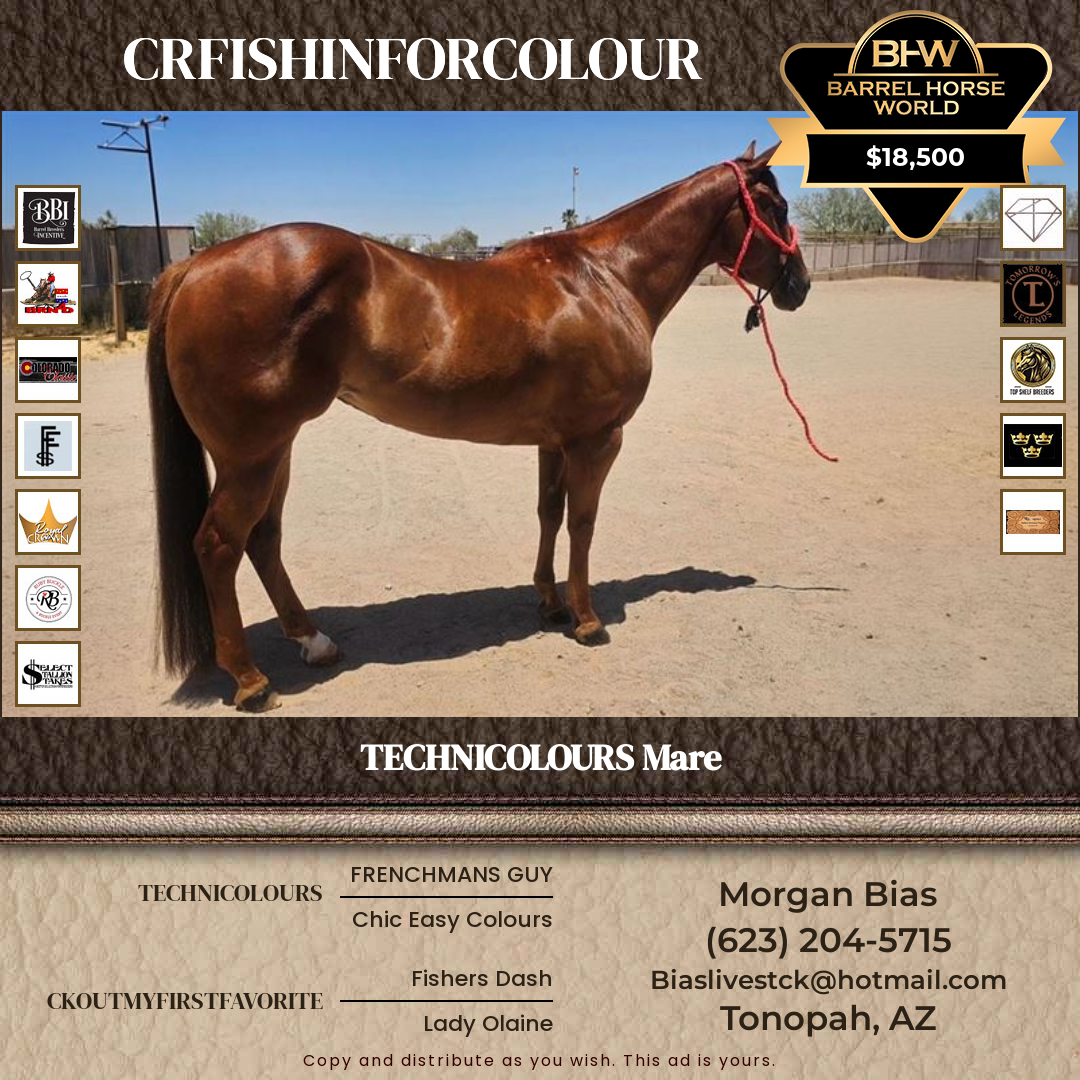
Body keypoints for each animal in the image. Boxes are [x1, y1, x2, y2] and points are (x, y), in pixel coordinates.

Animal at [147, 141, 811, 711]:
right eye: (777, 208)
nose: (799, 286)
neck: (605, 278)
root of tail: (196, 267)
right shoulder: (598, 438)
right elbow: (583, 522)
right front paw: (587, 620)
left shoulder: (554, 440)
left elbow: (549, 514)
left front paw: (549, 604)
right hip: (252, 456)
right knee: (218, 545)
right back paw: (251, 681)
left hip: (275, 449)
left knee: (263, 539)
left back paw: (313, 642)